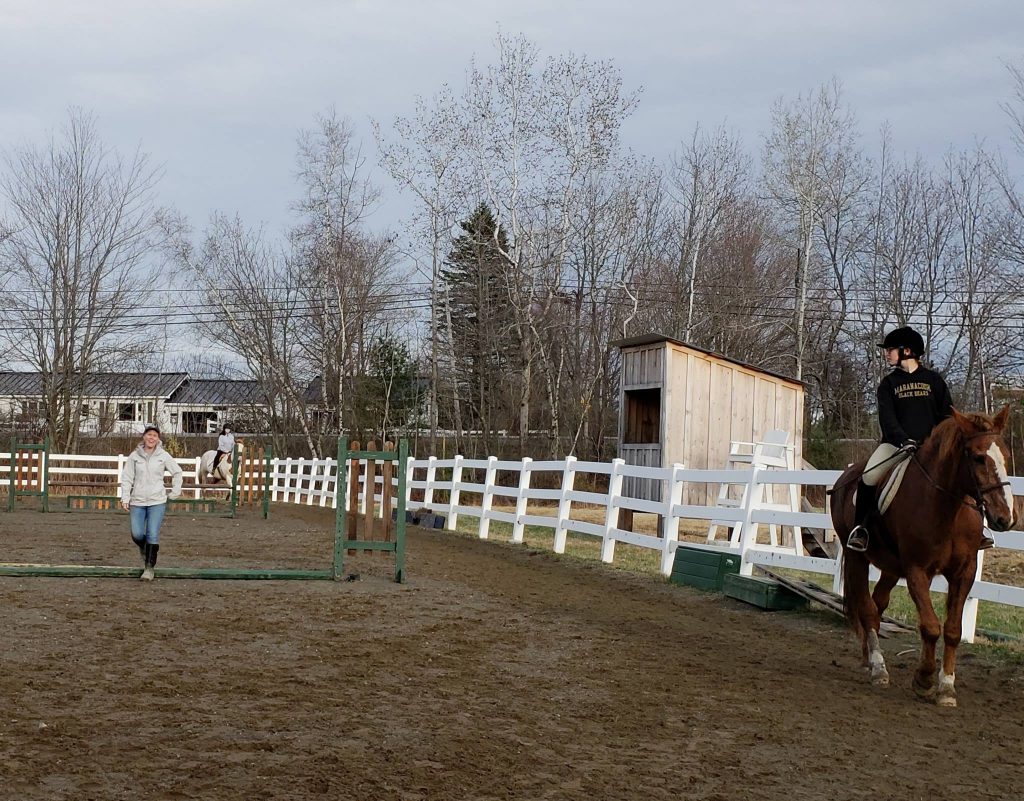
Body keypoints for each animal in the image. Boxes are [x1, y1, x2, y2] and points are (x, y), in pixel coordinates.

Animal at [831, 411, 1015, 704]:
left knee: (878, 604)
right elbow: (930, 626)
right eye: (977, 458)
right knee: (868, 609)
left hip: (891, 568)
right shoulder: (917, 570)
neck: (946, 507)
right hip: (857, 558)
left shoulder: (964, 572)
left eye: (1006, 456)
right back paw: (878, 668)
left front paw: (947, 686)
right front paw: (924, 679)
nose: (1005, 518)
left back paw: (868, 658)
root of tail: (845, 477)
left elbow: (952, 630)